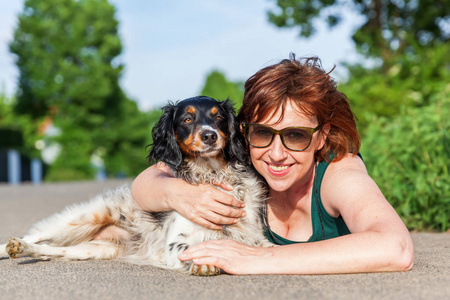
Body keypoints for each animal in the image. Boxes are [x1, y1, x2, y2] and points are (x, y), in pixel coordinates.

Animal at [1, 96, 272, 276]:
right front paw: (206, 263)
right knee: (35, 236)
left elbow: (262, 247)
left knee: (49, 249)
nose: (209, 136)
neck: (212, 174)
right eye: (187, 119)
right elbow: (195, 248)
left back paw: (25, 250)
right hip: (82, 219)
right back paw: (13, 246)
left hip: (92, 249)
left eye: (218, 117)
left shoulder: (252, 237)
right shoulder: (175, 244)